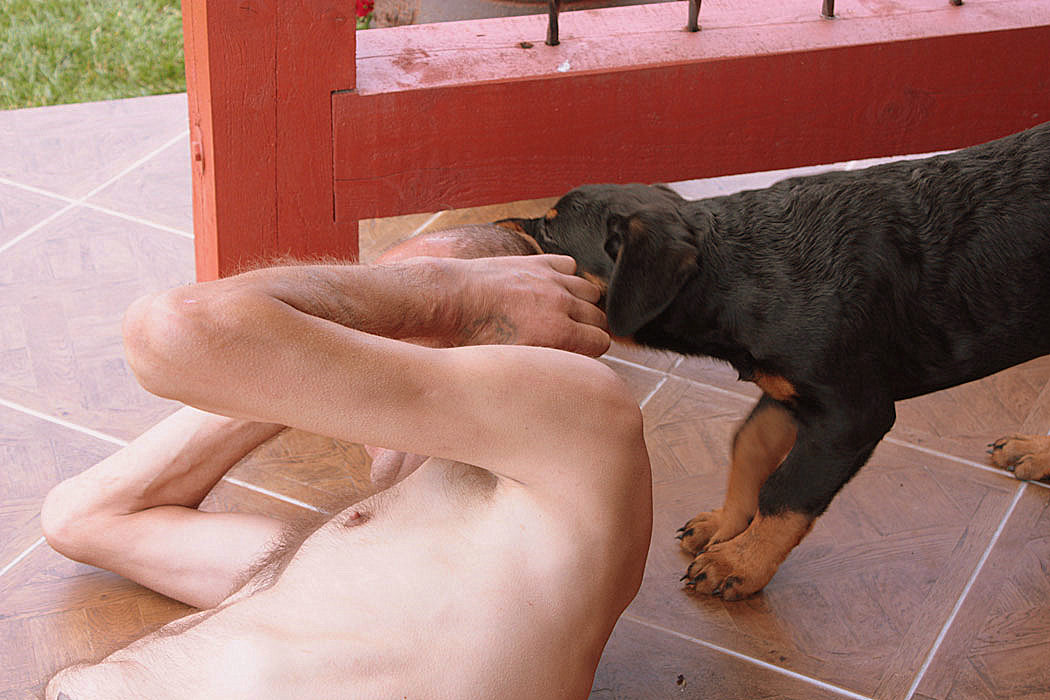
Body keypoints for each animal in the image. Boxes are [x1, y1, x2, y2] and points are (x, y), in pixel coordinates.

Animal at [497, 121, 1050, 600]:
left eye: (551, 234)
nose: (492, 223)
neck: (742, 269)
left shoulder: (851, 414)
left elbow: (787, 492)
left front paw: (739, 564)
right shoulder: (786, 390)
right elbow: (748, 445)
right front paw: (726, 525)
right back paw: (1036, 452)